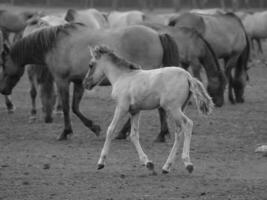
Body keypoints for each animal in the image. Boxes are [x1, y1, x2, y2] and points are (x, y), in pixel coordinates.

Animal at [0, 23, 182, 141]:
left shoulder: (62, 81)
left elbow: (66, 107)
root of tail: (157, 35)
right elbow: (75, 107)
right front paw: (94, 127)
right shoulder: (79, 82)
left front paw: (65, 132)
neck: (56, 44)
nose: (3, 90)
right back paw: (145, 134)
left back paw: (152, 134)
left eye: (3, 65)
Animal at [82, 45, 215, 173]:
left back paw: (188, 164)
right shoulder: (135, 111)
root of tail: (188, 76)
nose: (85, 83)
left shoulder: (121, 107)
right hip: (180, 108)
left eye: (90, 65)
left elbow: (110, 130)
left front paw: (101, 162)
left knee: (188, 124)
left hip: (173, 108)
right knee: (179, 132)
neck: (122, 77)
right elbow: (134, 135)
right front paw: (148, 163)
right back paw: (166, 167)